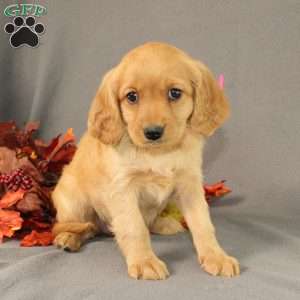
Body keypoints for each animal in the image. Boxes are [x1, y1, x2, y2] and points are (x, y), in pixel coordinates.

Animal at [51, 41, 239, 278]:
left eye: (175, 93)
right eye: (132, 96)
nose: (153, 132)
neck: (159, 154)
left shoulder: (190, 184)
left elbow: (202, 223)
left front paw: (216, 256)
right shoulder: (123, 189)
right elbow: (135, 228)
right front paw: (144, 262)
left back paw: (163, 223)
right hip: (73, 201)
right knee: (81, 226)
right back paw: (68, 238)